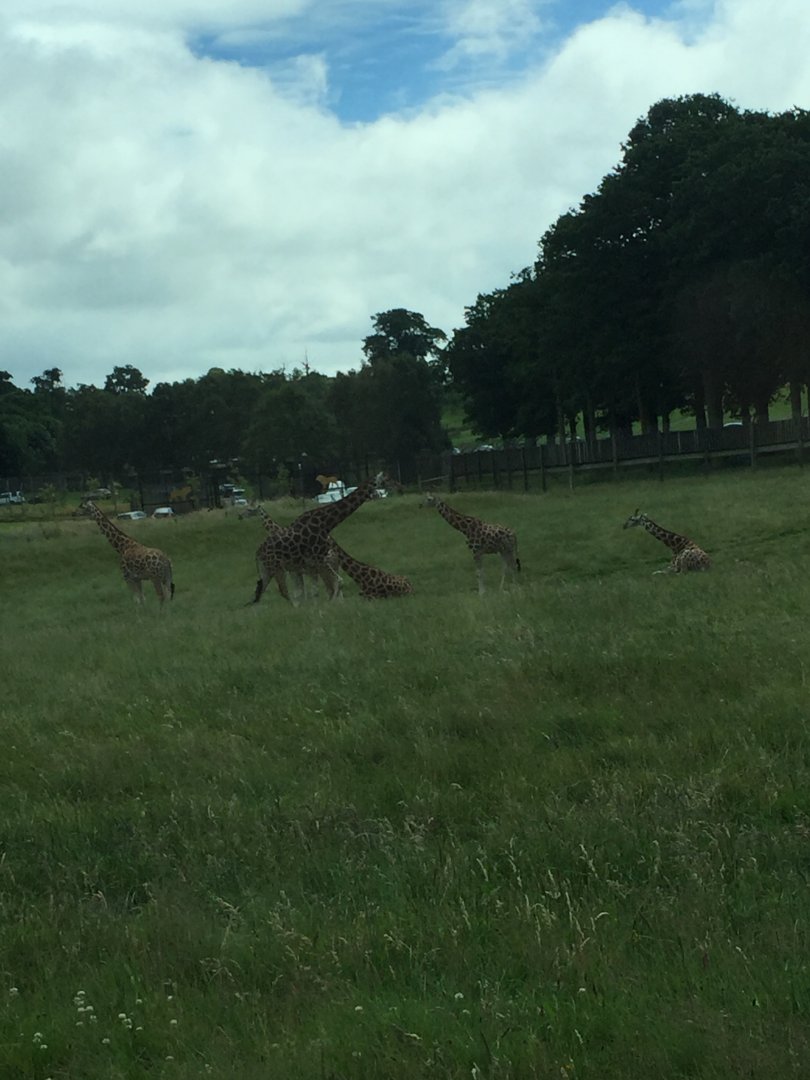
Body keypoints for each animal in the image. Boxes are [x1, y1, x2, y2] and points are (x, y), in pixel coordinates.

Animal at [250, 474, 384, 605]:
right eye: (378, 481)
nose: (379, 494)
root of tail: (257, 552)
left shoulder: (306, 566)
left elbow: (310, 591)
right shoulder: (308, 565)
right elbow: (309, 591)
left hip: (276, 569)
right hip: (280, 569)